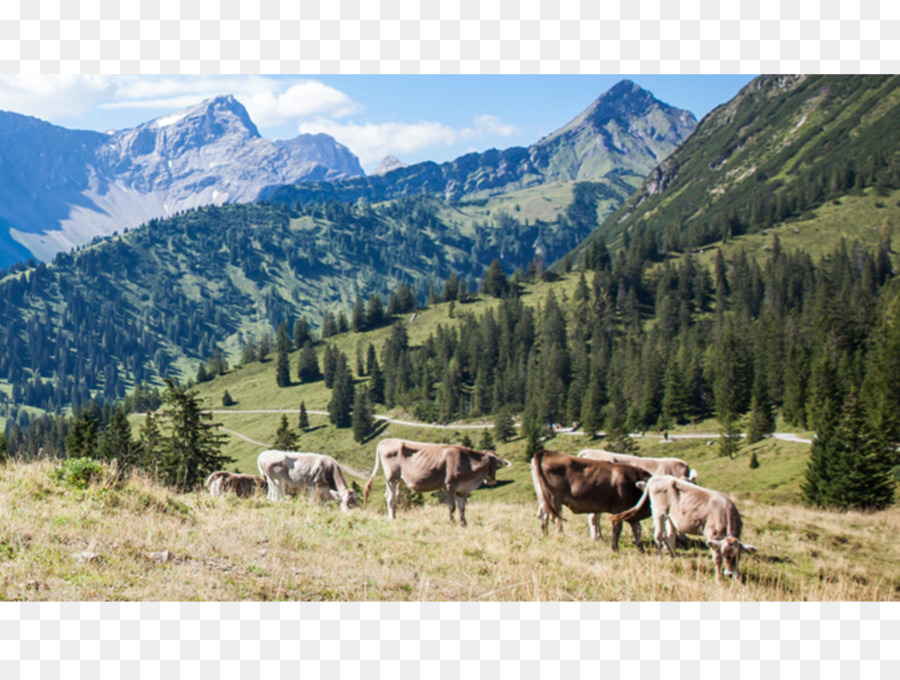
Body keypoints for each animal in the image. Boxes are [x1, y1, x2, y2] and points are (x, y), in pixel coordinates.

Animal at [360, 438, 510, 528]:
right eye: (495, 464)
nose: (492, 481)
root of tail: (388, 440)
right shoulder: (449, 485)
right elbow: (452, 507)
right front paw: (451, 522)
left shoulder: (461, 489)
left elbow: (462, 508)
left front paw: (463, 524)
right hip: (391, 477)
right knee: (390, 497)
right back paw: (391, 518)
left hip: (399, 480)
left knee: (393, 497)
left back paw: (395, 516)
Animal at [612, 476, 752, 580]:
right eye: (724, 554)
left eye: (737, 555)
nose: (729, 574)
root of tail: (656, 478)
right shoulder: (712, 535)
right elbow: (716, 559)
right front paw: (719, 580)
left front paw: (737, 578)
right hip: (659, 513)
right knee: (658, 535)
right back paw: (660, 558)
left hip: (670, 516)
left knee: (670, 535)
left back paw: (673, 557)